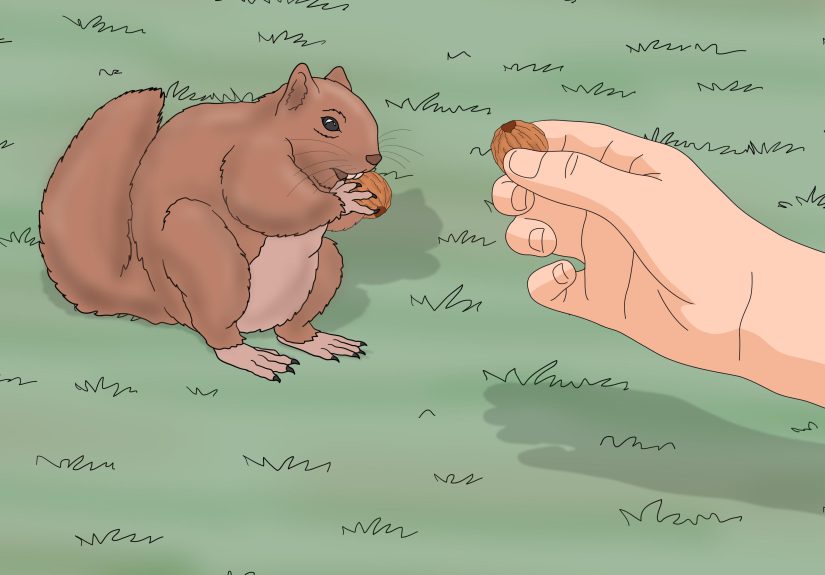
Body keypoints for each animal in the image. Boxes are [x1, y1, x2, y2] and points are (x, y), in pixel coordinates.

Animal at [39, 63, 385, 381]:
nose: (374, 159)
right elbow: (266, 200)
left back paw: (318, 341)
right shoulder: (248, 156)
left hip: (324, 264)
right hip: (207, 253)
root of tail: (161, 303)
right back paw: (252, 357)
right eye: (330, 123)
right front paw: (345, 197)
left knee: (291, 328)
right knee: (219, 331)